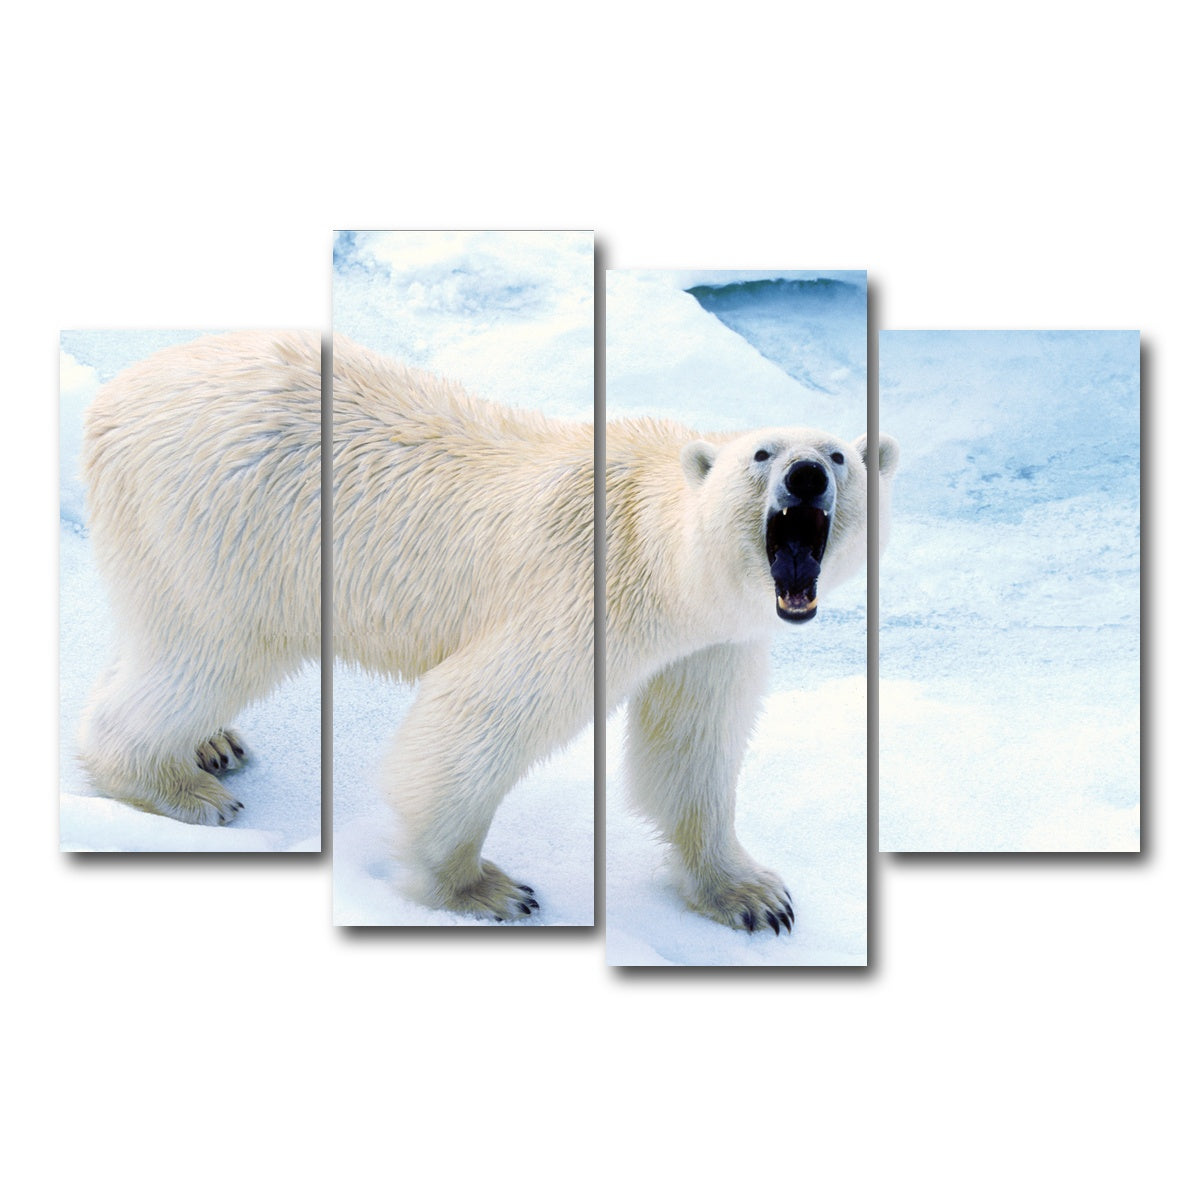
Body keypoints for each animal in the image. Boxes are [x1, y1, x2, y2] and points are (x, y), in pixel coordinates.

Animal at [605, 418, 899, 933]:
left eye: (837, 455)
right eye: (762, 453)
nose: (806, 476)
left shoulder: (711, 646)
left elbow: (690, 746)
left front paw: (756, 898)